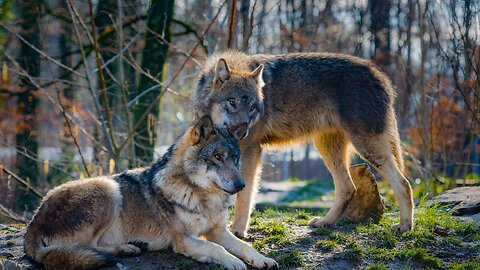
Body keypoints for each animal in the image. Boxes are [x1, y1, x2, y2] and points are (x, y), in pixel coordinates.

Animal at [23, 116, 278, 270]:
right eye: (217, 157)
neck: (202, 197)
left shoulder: (218, 231)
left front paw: (262, 259)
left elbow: (244, 246)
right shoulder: (183, 240)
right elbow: (215, 248)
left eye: (235, 158)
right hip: (108, 188)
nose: (241, 185)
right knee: (88, 247)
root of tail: (34, 221)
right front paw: (235, 263)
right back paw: (126, 249)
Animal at [193, 50, 414, 236]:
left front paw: (238, 230)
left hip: (367, 147)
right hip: (328, 148)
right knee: (348, 188)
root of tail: (381, 76)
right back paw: (325, 222)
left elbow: (244, 194)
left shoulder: (251, 150)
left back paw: (405, 226)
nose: (242, 132)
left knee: (403, 183)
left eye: (252, 108)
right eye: (232, 102)